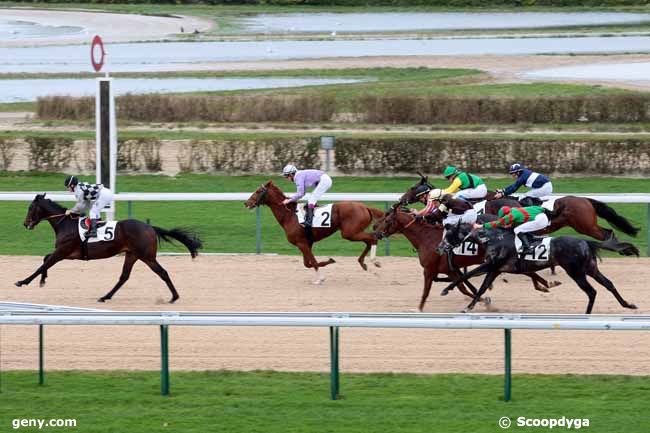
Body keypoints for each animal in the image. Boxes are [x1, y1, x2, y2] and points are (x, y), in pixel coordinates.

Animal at [16, 194, 201, 302]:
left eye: (30, 208)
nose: (25, 223)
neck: (66, 224)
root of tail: (150, 227)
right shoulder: (68, 253)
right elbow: (45, 259)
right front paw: (42, 280)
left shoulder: (63, 251)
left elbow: (43, 264)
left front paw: (23, 281)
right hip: (132, 254)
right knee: (124, 276)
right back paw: (105, 296)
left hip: (146, 256)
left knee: (162, 272)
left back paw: (174, 297)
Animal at [246, 180, 382, 284]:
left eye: (258, 191)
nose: (246, 203)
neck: (289, 215)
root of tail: (365, 207)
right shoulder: (307, 243)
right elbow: (308, 263)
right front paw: (330, 261)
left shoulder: (301, 243)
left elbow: (313, 262)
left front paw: (320, 279)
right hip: (355, 232)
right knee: (369, 240)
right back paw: (363, 263)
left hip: (349, 233)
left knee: (373, 238)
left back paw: (374, 261)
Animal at [372, 208, 560, 312]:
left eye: (387, 220)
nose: (376, 232)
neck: (426, 237)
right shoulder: (449, 269)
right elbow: (464, 286)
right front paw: (484, 301)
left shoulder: (430, 269)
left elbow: (428, 290)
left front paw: (418, 309)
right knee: (527, 270)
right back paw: (546, 284)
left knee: (527, 270)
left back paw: (545, 284)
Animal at [438, 223, 636, 314]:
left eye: (448, 234)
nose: (439, 247)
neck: (493, 239)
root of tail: (585, 242)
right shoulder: (496, 269)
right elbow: (482, 288)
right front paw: (469, 306)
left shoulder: (491, 265)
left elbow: (467, 275)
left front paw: (446, 290)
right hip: (590, 268)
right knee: (609, 284)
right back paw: (628, 304)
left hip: (576, 272)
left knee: (592, 291)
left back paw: (586, 314)